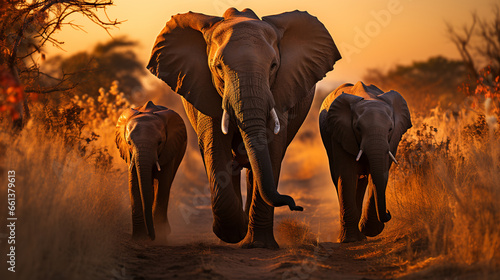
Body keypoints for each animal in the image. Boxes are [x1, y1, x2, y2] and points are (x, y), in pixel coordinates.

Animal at [115, 101, 188, 243]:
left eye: (159, 142)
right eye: (129, 142)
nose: (151, 237)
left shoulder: (169, 148)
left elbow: (163, 183)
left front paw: (160, 236)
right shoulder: (130, 154)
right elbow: (134, 184)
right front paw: (139, 238)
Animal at [146, 7, 342, 247]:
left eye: (273, 66)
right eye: (218, 67)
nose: (297, 206)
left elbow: (272, 149)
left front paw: (259, 245)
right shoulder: (204, 88)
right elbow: (214, 146)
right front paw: (233, 232)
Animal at [318, 81, 412, 243]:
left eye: (390, 129)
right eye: (358, 128)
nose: (388, 213)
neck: (369, 98)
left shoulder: (393, 140)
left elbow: (380, 174)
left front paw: (369, 230)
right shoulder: (341, 134)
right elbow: (346, 176)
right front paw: (349, 240)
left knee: (361, 182)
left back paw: (361, 236)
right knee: (338, 178)